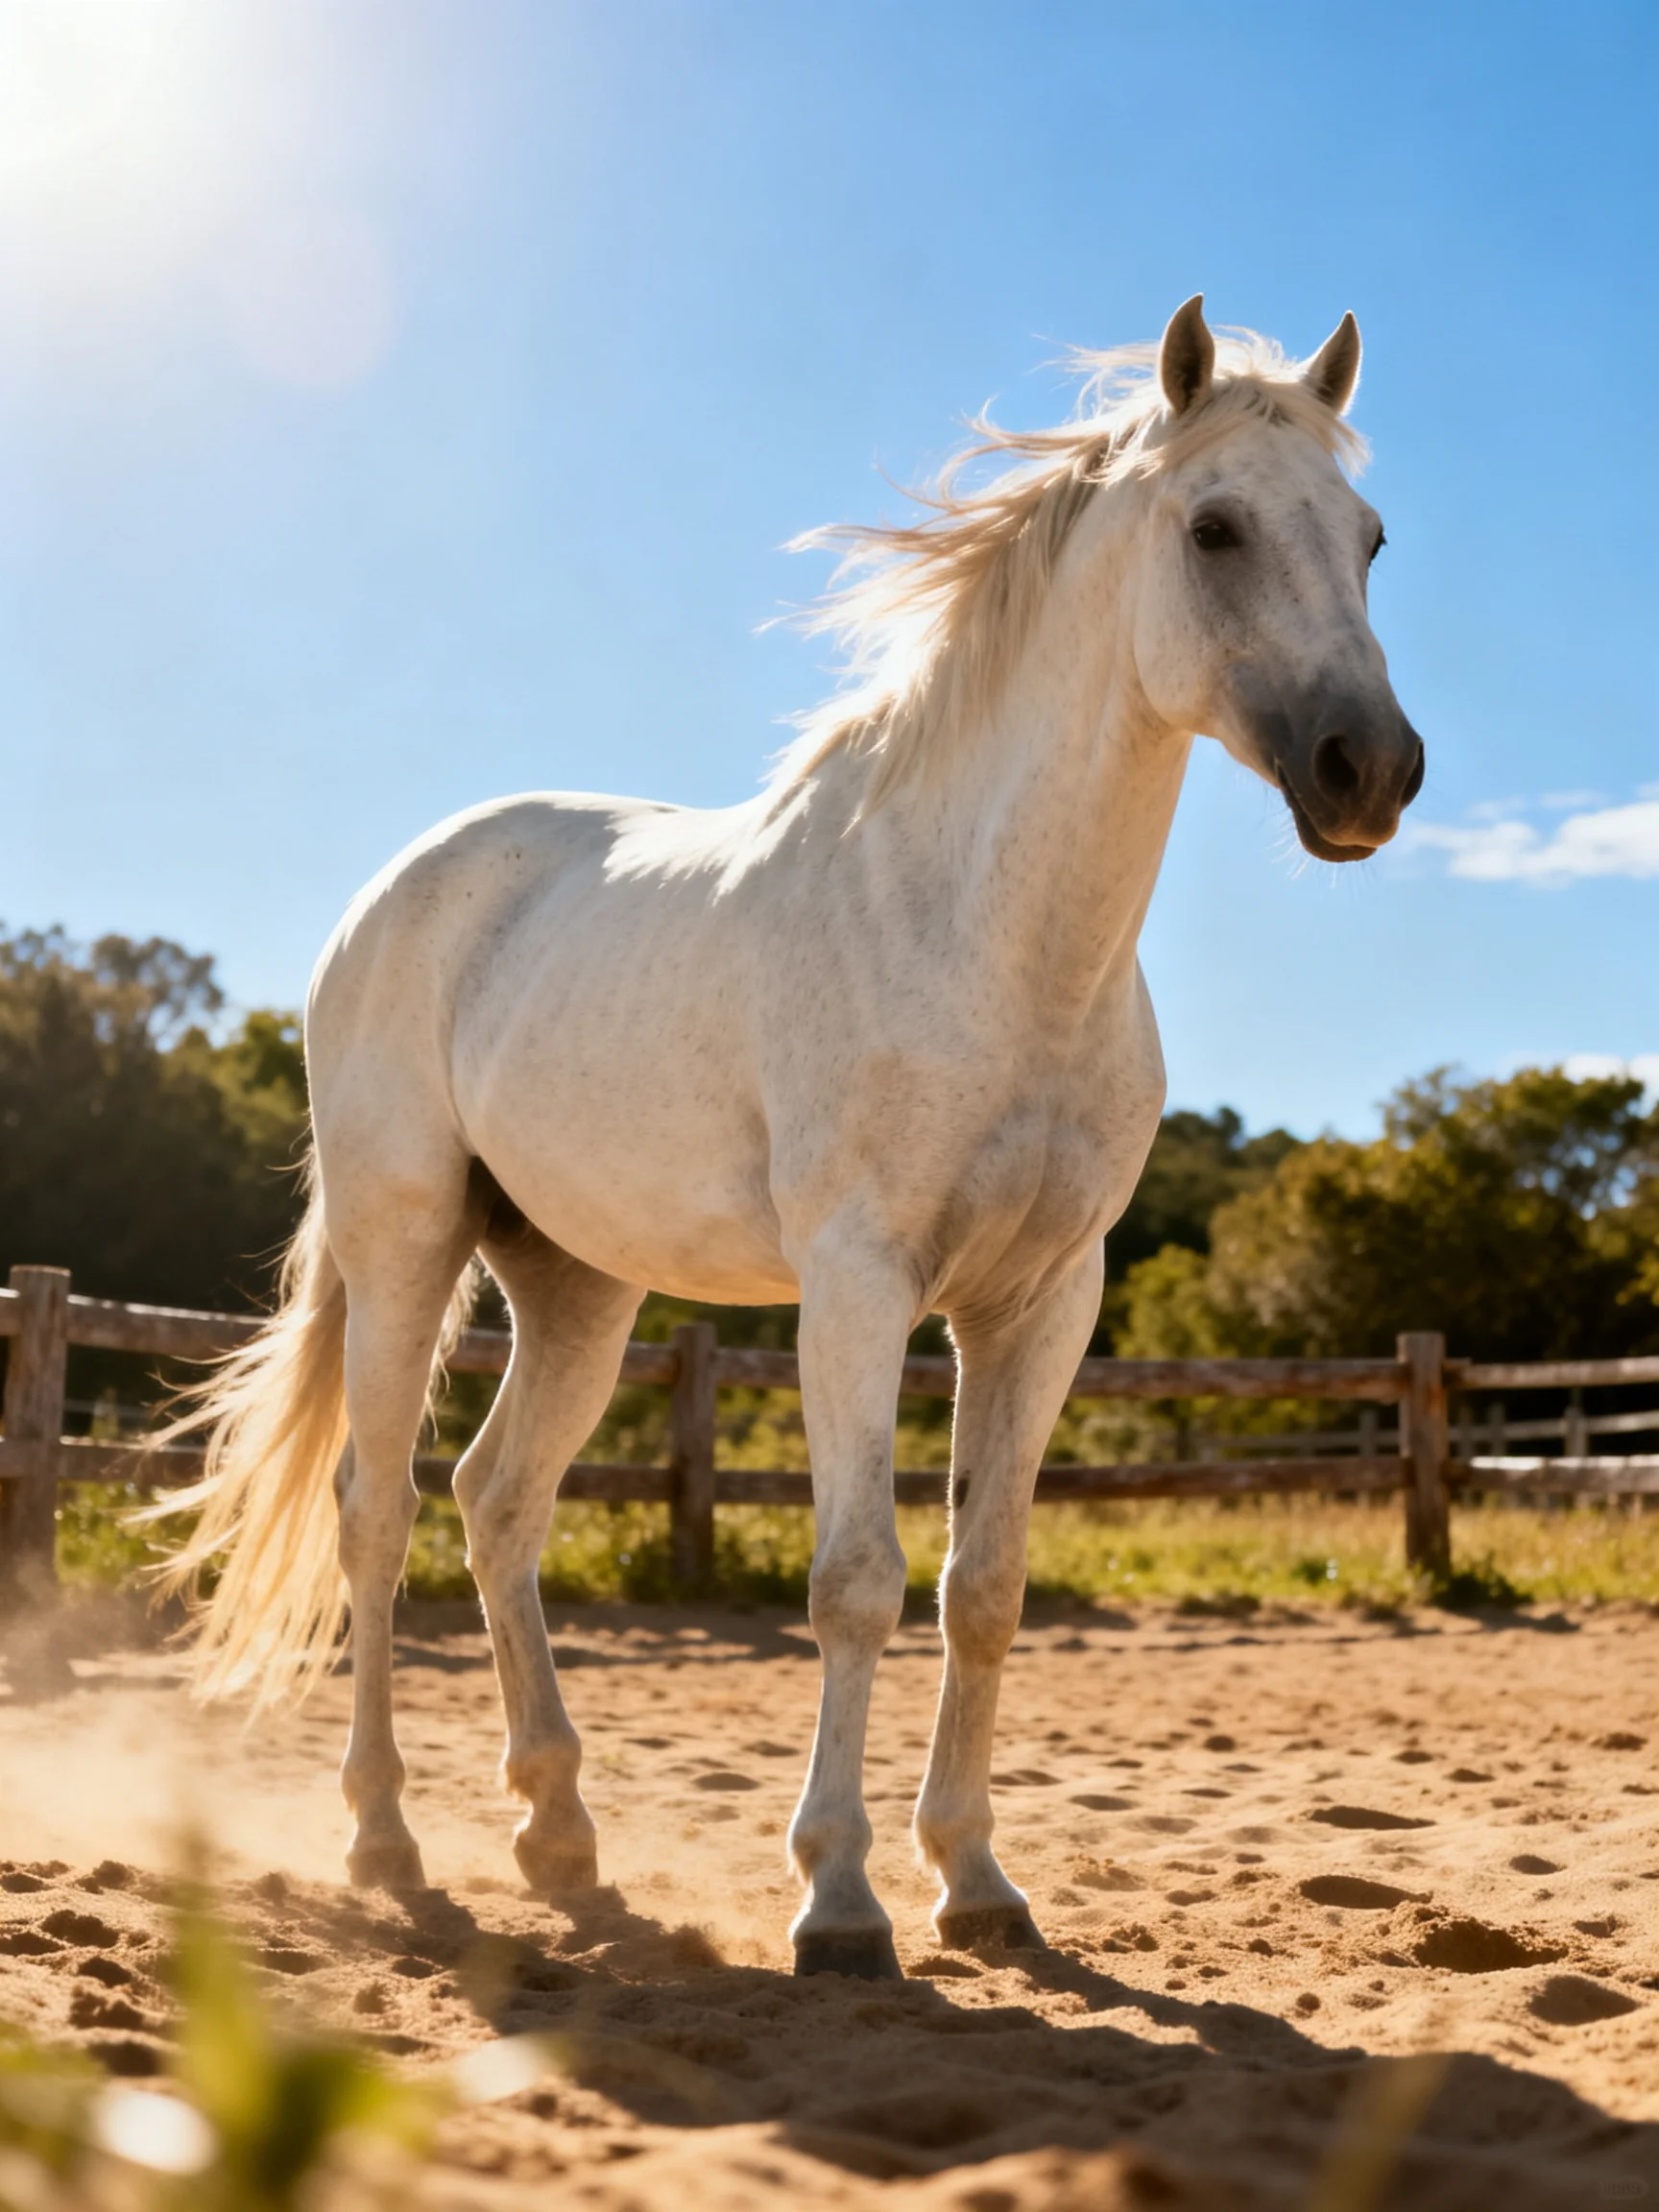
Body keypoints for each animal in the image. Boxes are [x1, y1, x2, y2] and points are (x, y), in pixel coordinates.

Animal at [154, 296, 1424, 1979]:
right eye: (1214, 527)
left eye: (1369, 536)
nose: (1373, 773)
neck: (982, 932)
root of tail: (396, 891)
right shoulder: (859, 1285)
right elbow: (856, 1582)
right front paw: (840, 1901)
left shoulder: (1043, 1305)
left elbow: (985, 1586)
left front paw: (978, 1883)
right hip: (407, 1242)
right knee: (380, 1513)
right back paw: (385, 1841)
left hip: (577, 1286)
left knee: (499, 1503)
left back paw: (559, 1834)